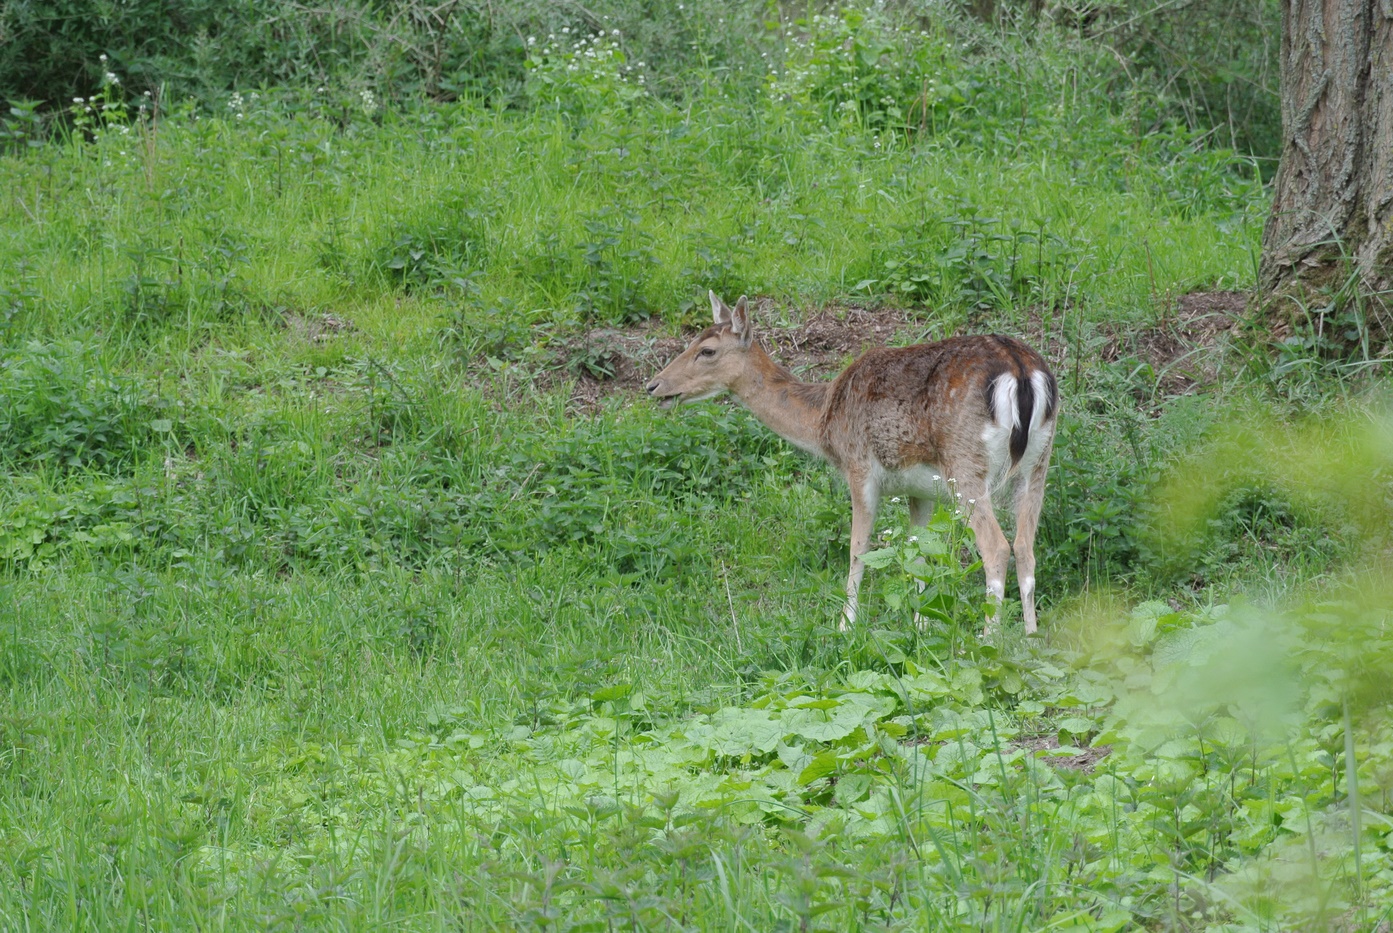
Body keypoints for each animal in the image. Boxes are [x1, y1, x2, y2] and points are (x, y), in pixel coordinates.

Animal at [649, 292, 1053, 634]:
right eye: (692, 341)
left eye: (707, 350)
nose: (654, 386)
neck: (825, 420)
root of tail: (1020, 371)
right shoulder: (920, 490)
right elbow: (920, 551)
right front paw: (921, 624)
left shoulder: (859, 468)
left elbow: (858, 549)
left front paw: (845, 625)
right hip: (1038, 464)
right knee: (1025, 546)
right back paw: (1031, 638)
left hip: (966, 466)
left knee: (997, 547)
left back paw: (989, 640)